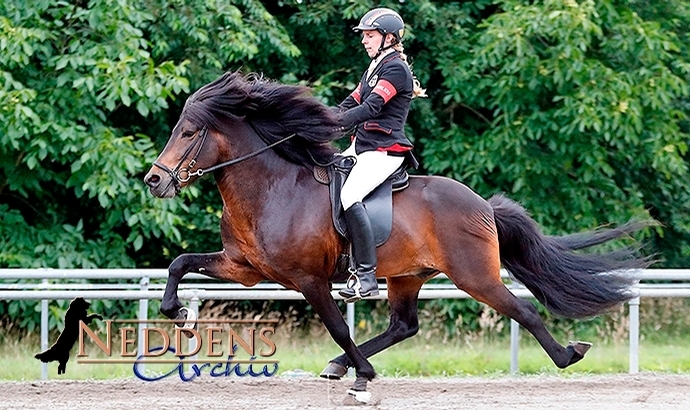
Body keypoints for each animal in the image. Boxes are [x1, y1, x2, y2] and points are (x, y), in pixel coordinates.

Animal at [144, 71, 652, 400]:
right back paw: (341, 366)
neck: (271, 187)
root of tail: (483, 206)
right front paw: (177, 313)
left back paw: (568, 355)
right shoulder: (244, 267)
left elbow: (337, 327)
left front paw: (364, 376)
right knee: (404, 325)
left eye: (188, 132)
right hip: (407, 276)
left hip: (474, 275)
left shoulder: (308, 280)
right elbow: (180, 263)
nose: (154, 180)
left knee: (522, 311)